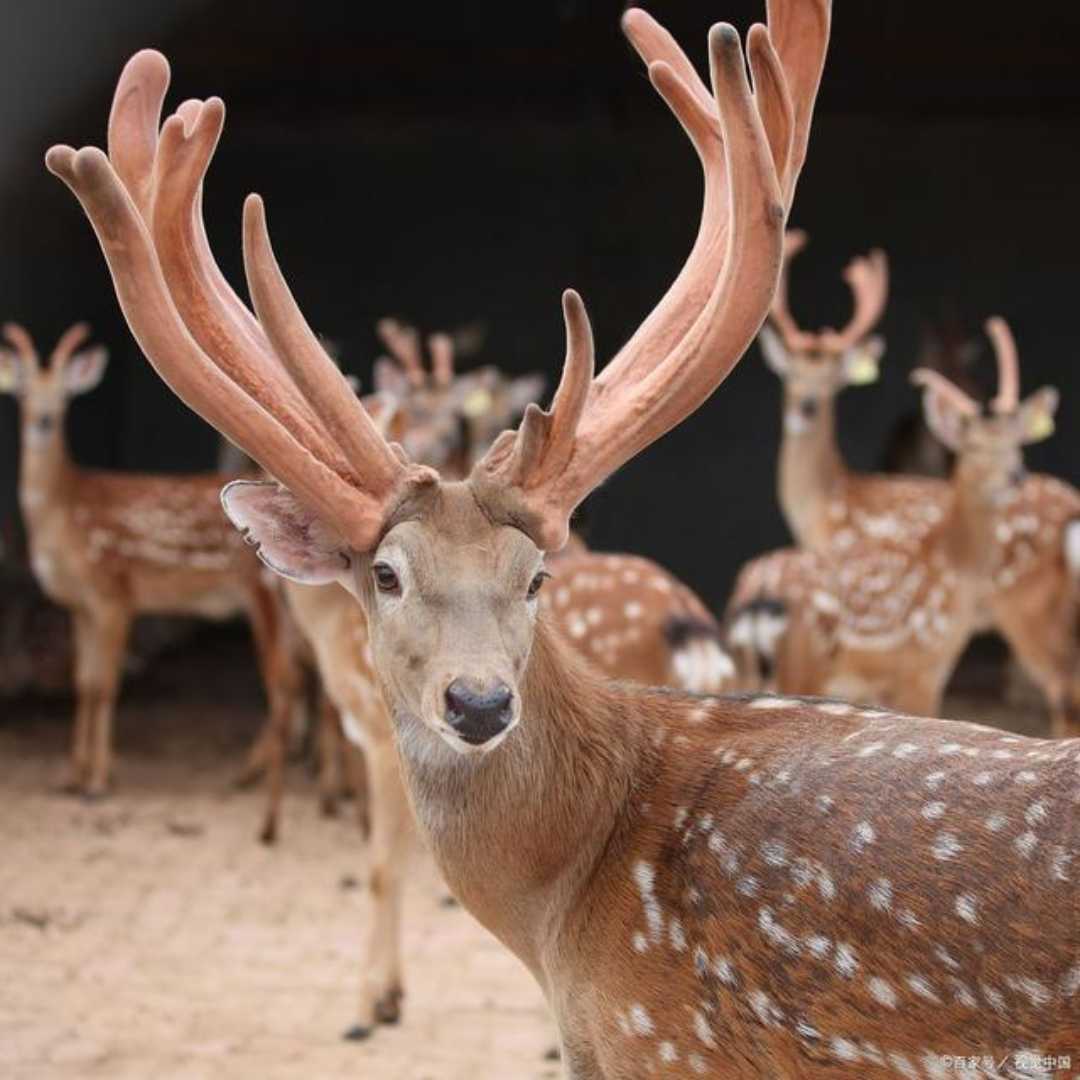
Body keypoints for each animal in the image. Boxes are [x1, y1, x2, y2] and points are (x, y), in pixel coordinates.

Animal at [0, 324, 300, 812]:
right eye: (23, 390)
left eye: (65, 394)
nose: (42, 419)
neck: (62, 512)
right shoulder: (81, 605)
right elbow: (83, 682)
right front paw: (73, 775)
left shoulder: (114, 592)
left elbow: (106, 684)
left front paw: (98, 781)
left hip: (260, 591)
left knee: (281, 679)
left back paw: (251, 776)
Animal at [56, 4, 1080, 1075]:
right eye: (385, 574)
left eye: (536, 575)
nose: (477, 701)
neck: (561, 925)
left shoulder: (668, 1040)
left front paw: (375, 1001)